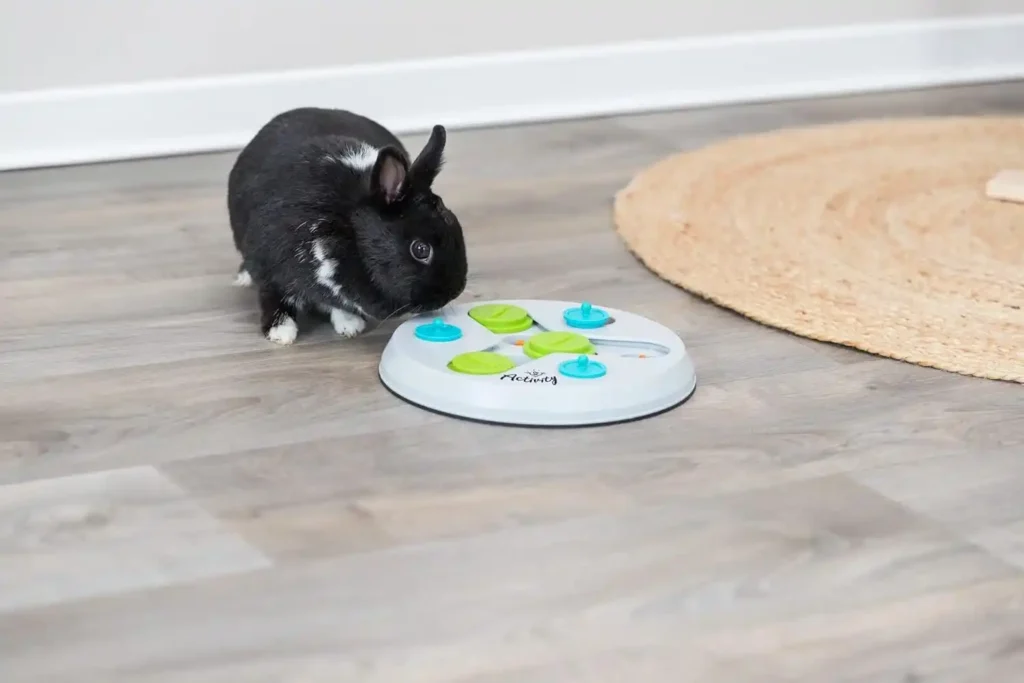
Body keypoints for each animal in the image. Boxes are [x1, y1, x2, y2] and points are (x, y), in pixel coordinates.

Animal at [227, 107, 468, 345]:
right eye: (420, 249)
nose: (454, 292)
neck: (347, 224)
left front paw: (350, 325)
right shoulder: (269, 268)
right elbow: (274, 298)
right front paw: (280, 332)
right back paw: (243, 279)